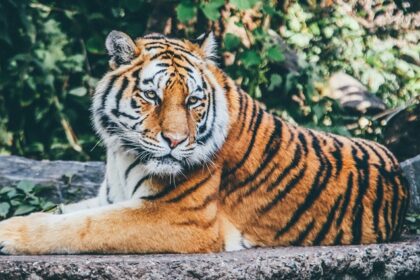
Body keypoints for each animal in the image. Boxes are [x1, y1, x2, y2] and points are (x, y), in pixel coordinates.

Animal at [0, 31, 408, 255]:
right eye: (152, 96)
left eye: (193, 100)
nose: (176, 141)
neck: (123, 154)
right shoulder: (109, 198)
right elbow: (64, 213)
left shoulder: (180, 216)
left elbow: (80, 227)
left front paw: (9, 233)